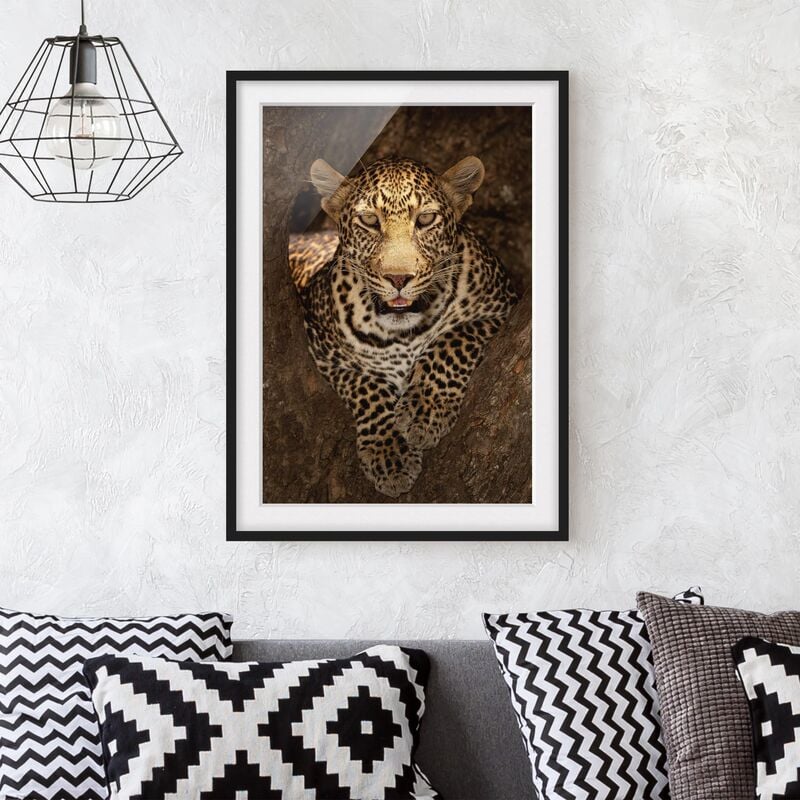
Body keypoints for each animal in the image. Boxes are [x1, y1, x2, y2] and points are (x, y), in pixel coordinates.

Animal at [290, 155, 518, 498]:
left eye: (426, 219)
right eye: (369, 220)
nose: (398, 279)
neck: (402, 334)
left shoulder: (503, 306)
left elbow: (452, 340)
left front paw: (425, 411)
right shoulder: (323, 350)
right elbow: (366, 386)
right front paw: (389, 455)